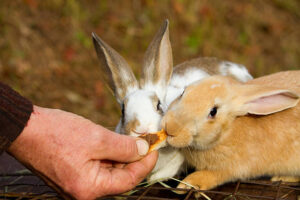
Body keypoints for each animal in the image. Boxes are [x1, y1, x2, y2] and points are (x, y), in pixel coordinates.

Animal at [163, 70, 300, 191]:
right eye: (183, 92)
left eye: (213, 112)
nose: (170, 128)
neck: (228, 132)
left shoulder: (233, 169)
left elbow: (211, 175)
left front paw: (186, 185)